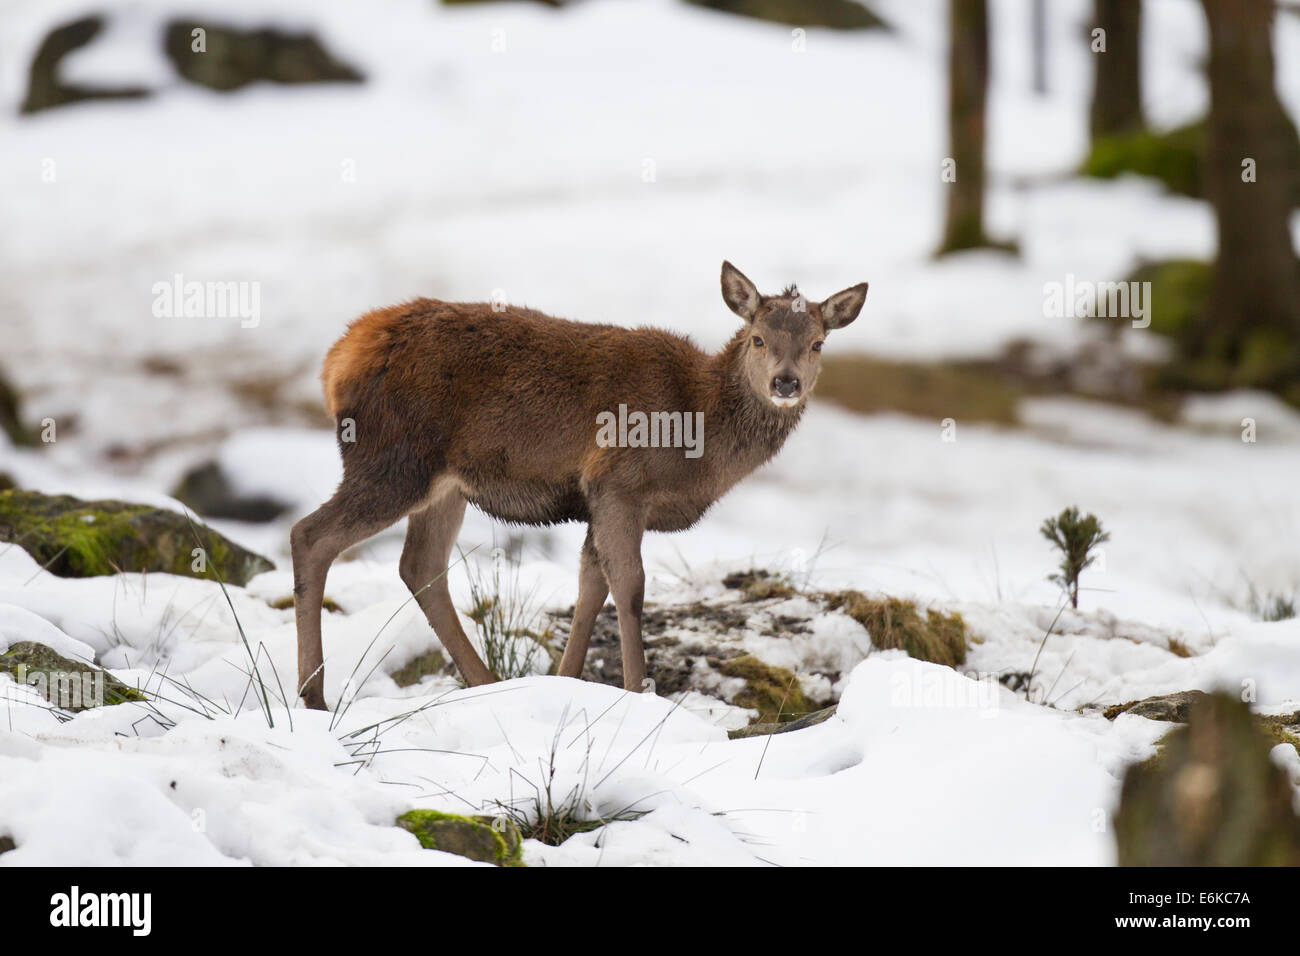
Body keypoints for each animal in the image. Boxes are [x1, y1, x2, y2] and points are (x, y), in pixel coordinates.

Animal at [289, 261, 868, 712]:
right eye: (757, 338)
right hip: (393, 461)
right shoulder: (620, 482)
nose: (785, 382)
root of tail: (336, 360)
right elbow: (630, 588)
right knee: (310, 536)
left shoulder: (598, 500)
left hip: (443, 486)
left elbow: (591, 585)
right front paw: (637, 692)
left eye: (818, 343)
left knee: (420, 566)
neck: (694, 437)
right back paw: (313, 694)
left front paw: (566, 683)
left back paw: (485, 684)